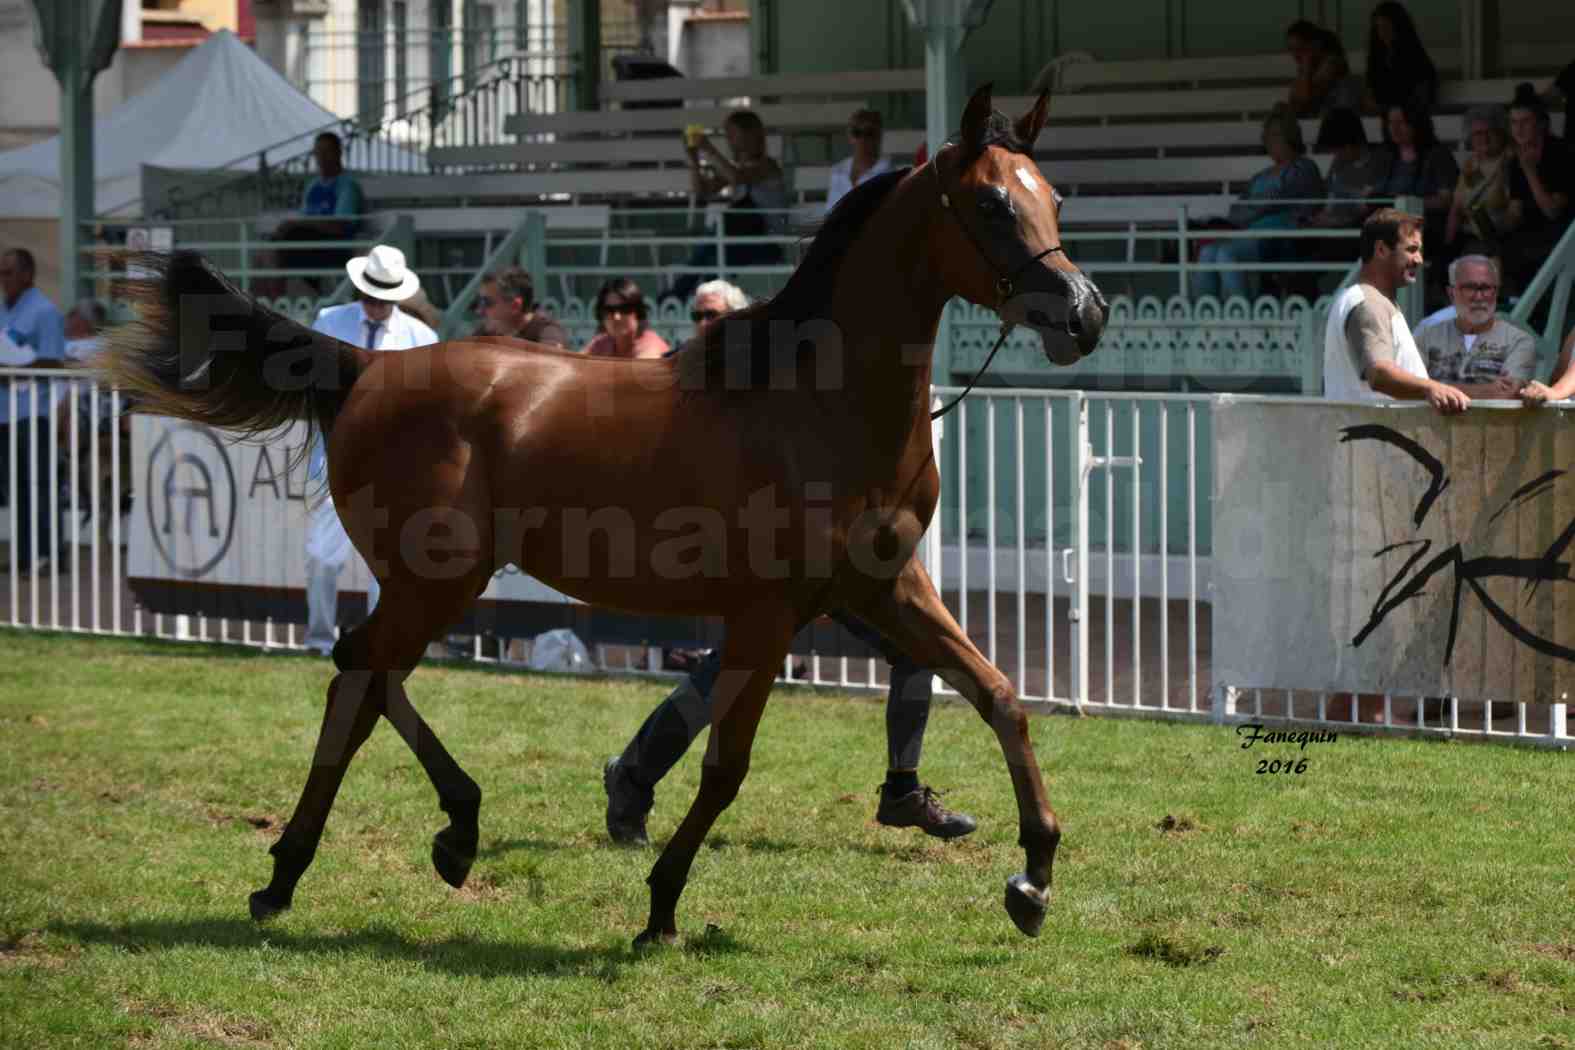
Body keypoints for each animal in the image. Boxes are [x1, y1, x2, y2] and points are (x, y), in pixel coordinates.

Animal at [101, 86, 1108, 950]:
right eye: (991, 205)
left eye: (1055, 196)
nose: (1084, 313)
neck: (816, 403)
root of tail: (368, 367)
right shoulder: (770, 612)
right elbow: (726, 765)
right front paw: (660, 907)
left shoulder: (881, 587)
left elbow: (1000, 695)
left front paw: (1032, 880)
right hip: (436, 577)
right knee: (359, 674)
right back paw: (306, 868)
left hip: (434, 579)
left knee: (364, 670)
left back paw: (438, 834)